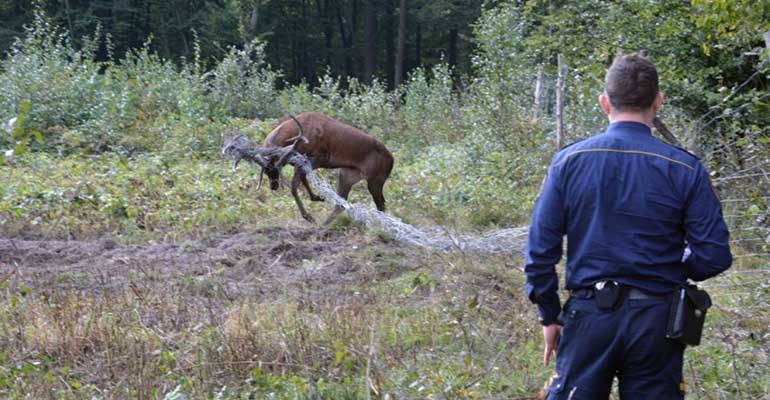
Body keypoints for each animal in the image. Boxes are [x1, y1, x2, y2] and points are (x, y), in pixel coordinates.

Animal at [225, 112, 392, 225]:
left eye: (276, 170)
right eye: (265, 172)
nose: (274, 186)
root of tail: (392, 160)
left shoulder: (318, 157)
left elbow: (294, 186)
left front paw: (308, 216)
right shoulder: (299, 161)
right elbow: (302, 181)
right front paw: (317, 198)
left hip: (375, 178)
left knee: (381, 204)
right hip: (347, 174)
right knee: (341, 204)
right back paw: (324, 225)